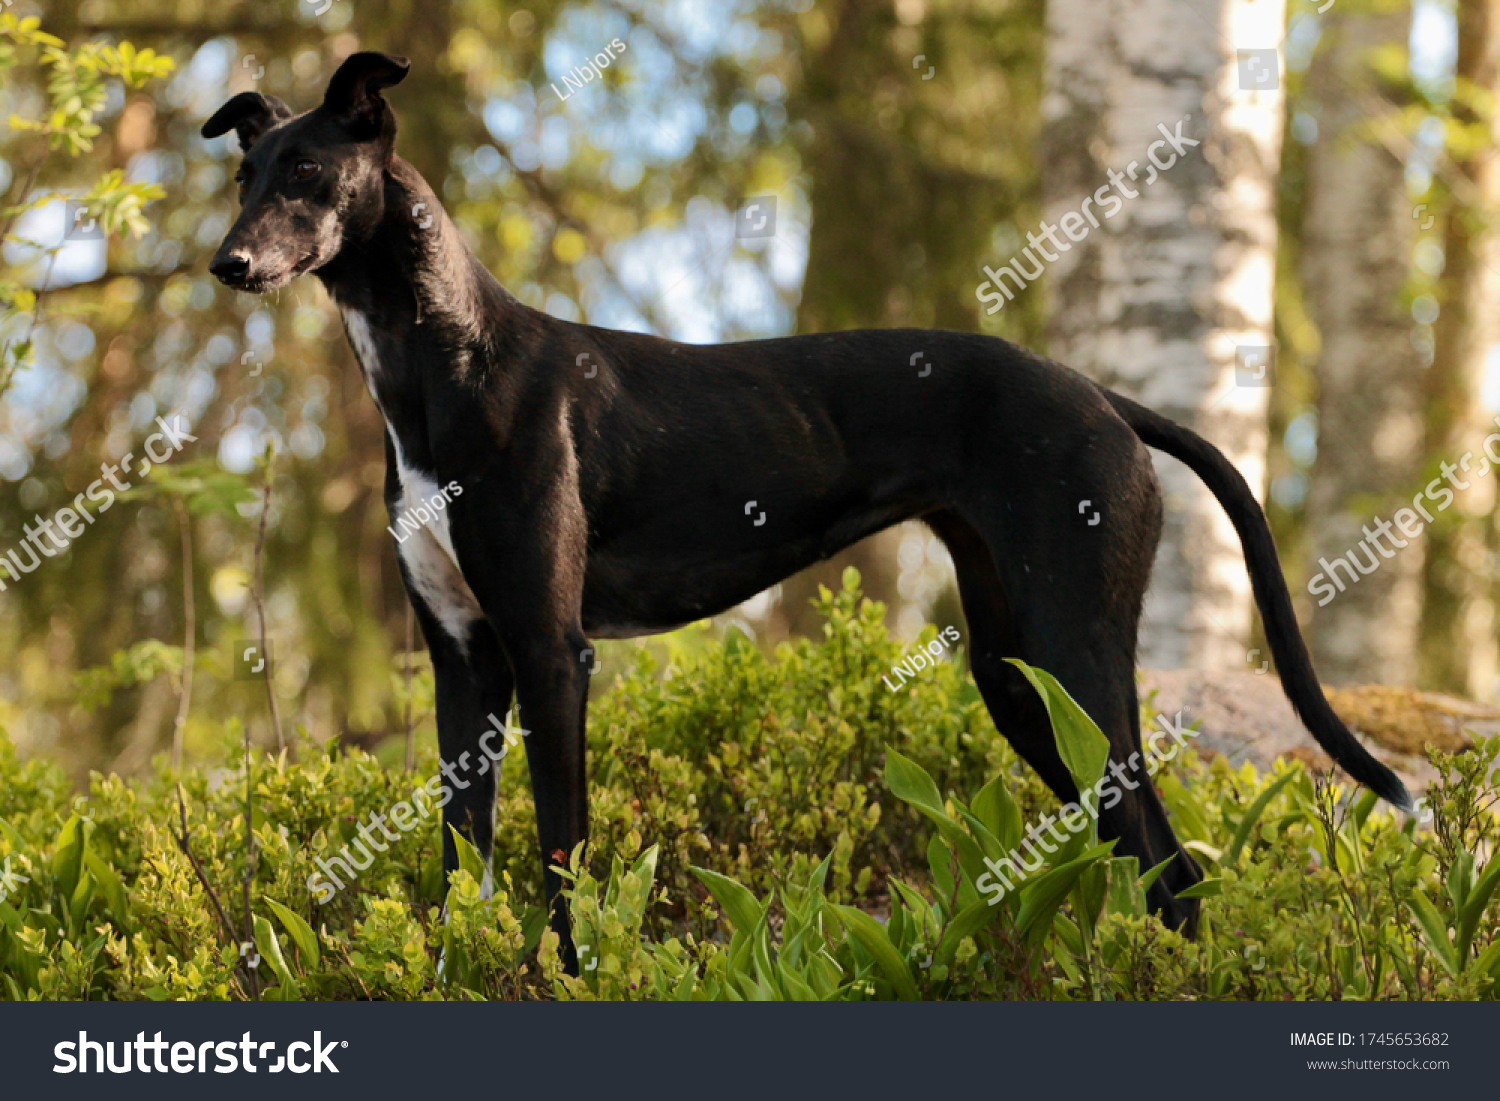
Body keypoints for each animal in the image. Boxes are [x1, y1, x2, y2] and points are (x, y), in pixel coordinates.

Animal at [205, 49, 1410, 966]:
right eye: (245, 173)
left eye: (309, 170)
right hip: (1018, 674)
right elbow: (467, 860)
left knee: (1170, 860)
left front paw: (570, 974)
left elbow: (563, 854)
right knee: (1146, 859)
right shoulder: (464, 658)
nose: (229, 263)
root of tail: (1104, 397)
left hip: (1076, 655)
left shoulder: (550, 652)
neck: (449, 367)